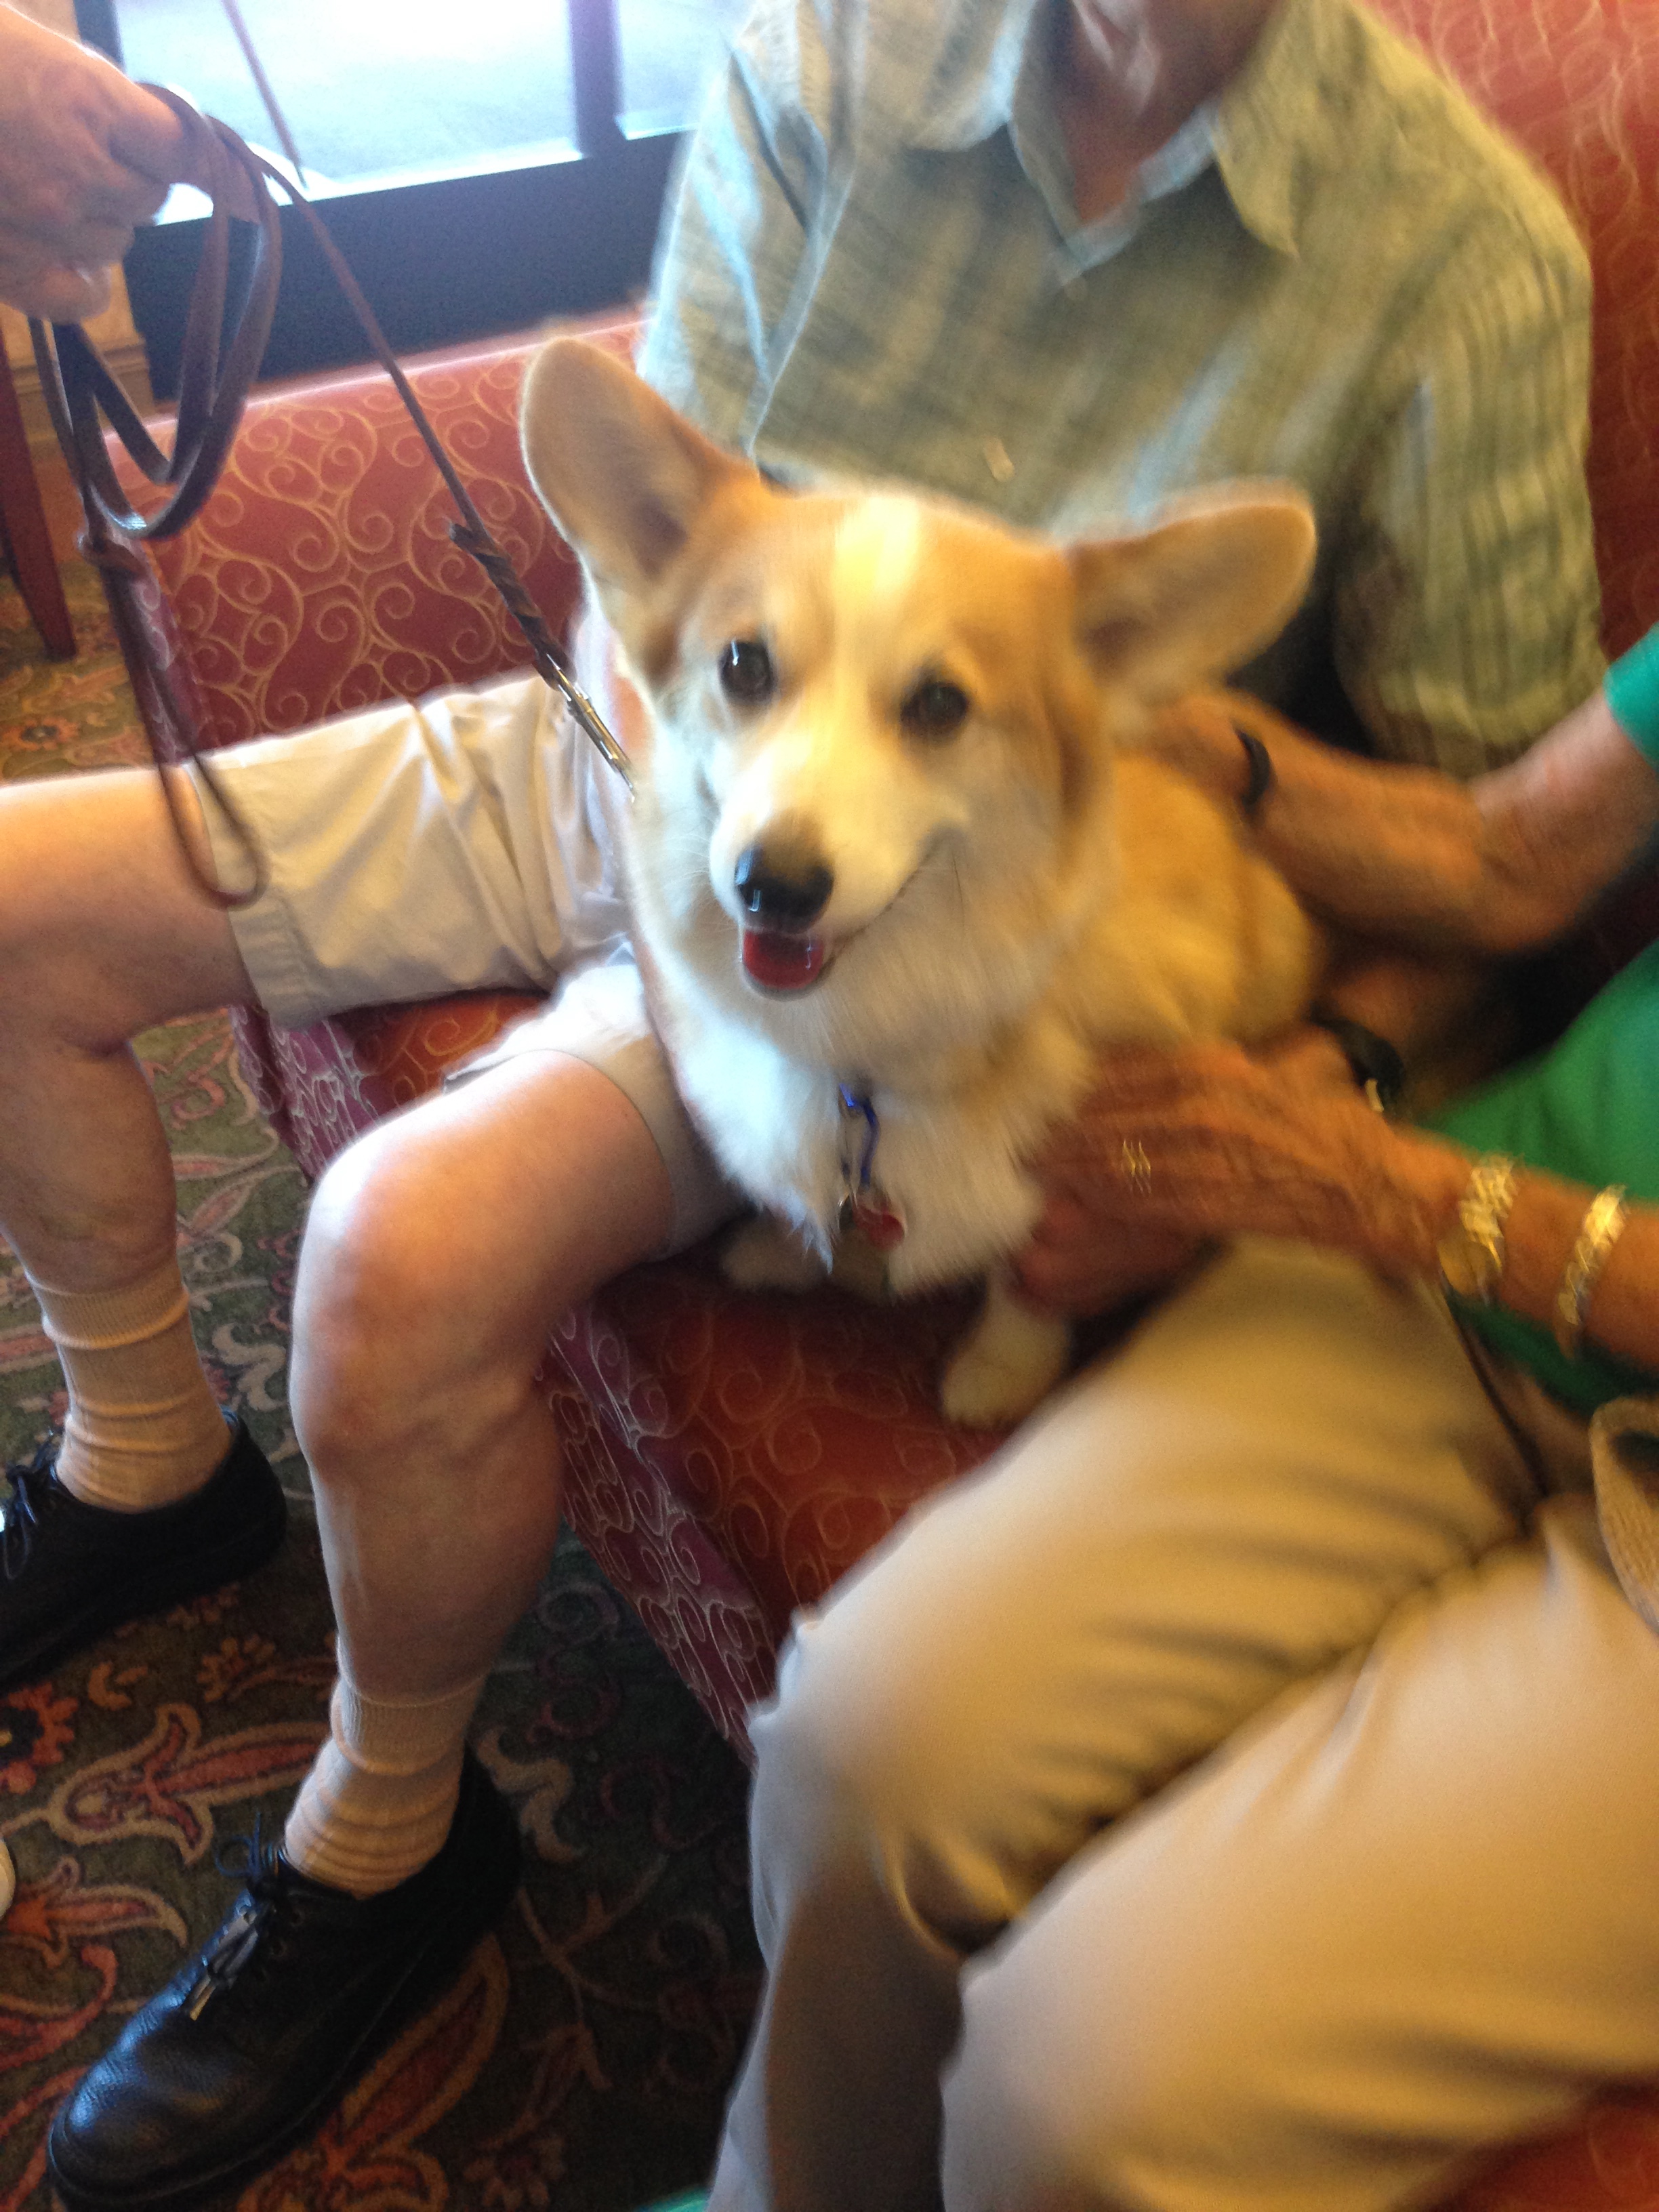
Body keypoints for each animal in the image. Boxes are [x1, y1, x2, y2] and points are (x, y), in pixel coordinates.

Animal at [520, 338, 1322, 1426]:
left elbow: (1027, 1270)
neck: (863, 1044)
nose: (773, 886)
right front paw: (787, 1249)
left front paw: (1000, 1372)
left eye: (941, 705)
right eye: (744, 665)